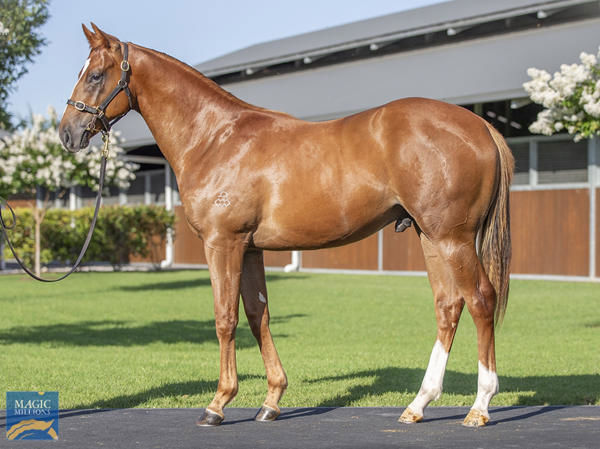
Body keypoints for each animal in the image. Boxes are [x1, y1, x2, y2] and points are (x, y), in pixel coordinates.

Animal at [59, 24, 510, 428]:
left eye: (95, 75)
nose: (67, 133)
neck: (215, 138)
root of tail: (479, 125)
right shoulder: (250, 248)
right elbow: (258, 315)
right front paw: (271, 401)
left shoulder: (223, 244)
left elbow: (225, 318)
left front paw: (217, 404)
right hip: (430, 236)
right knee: (448, 306)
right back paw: (418, 404)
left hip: (453, 239)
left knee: (480, 300)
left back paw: (479, 407)